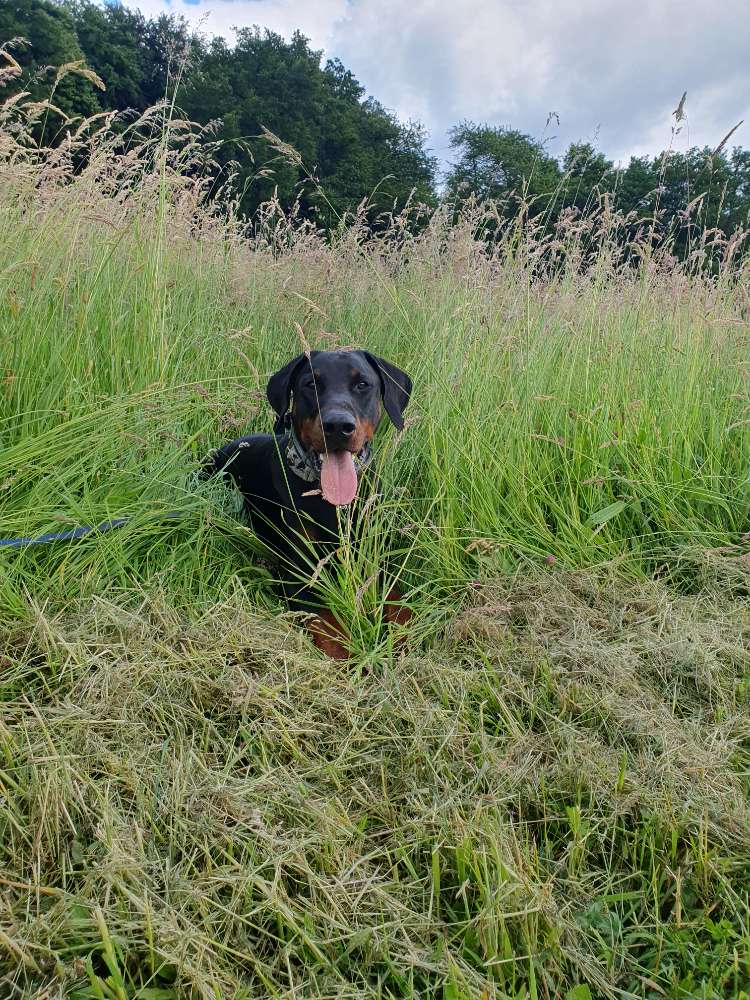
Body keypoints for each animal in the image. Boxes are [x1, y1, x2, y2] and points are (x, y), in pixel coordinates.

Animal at [203, 348, 414, 660]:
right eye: (310, 384)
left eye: (362, 384)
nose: (338, 426)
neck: (333, 504)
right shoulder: (299, 573)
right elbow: (326, 621)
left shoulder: (374, 555)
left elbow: (400, 604)